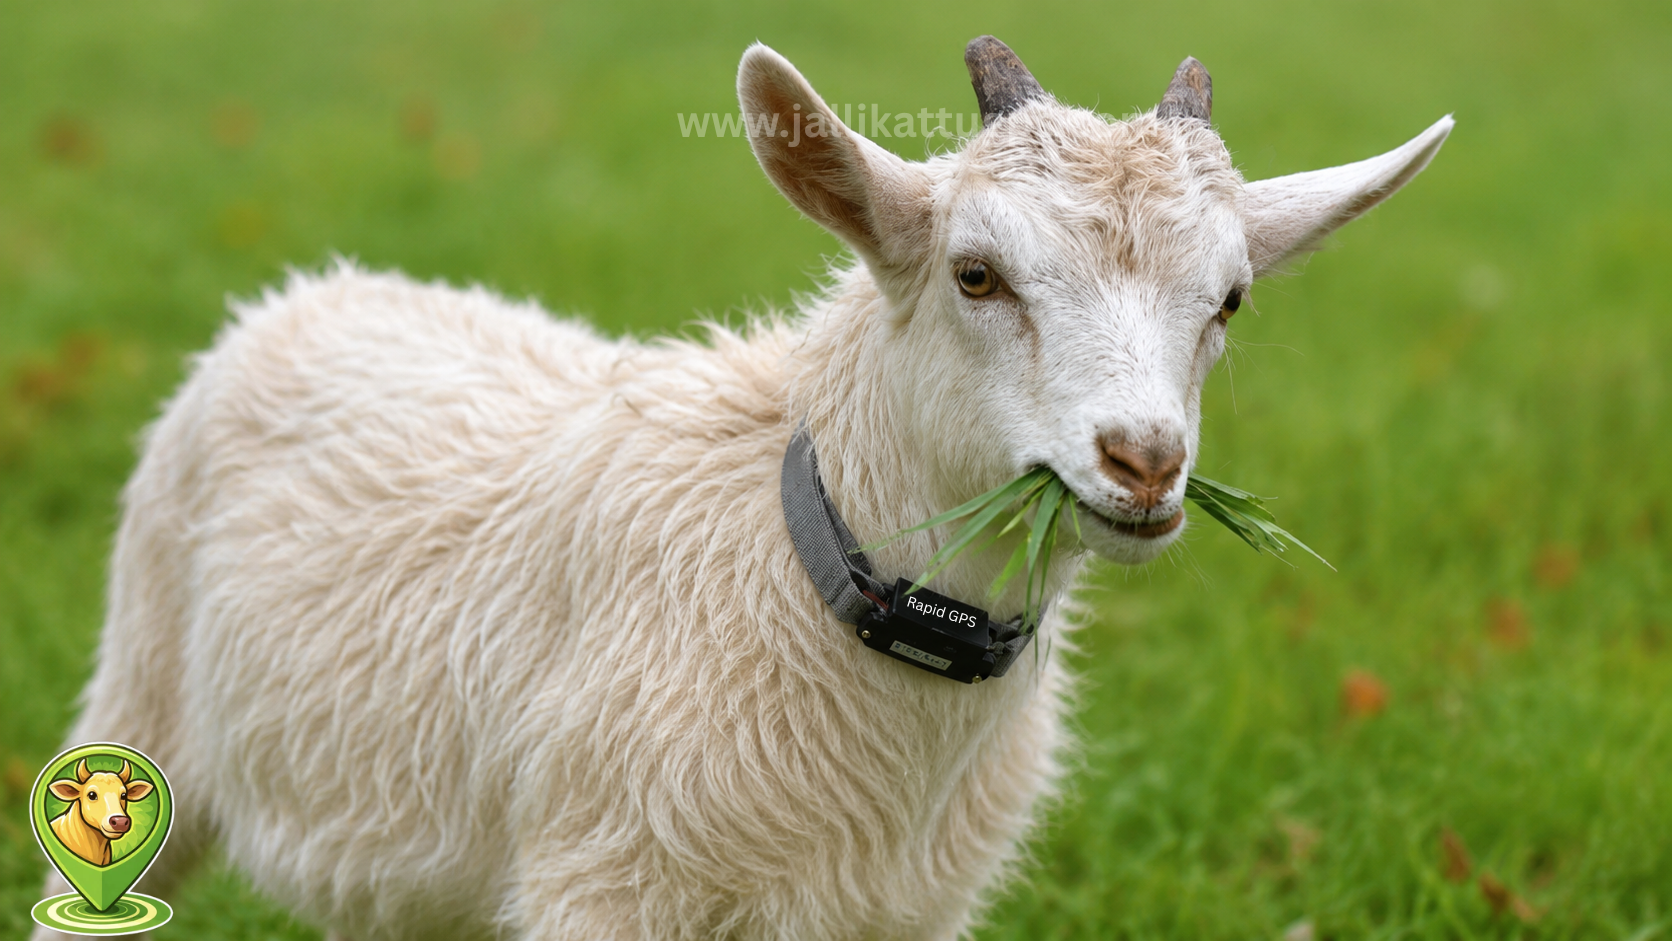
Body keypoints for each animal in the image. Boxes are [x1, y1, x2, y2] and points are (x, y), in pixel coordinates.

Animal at [33, 37, 1449, 941]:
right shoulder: (606, 878)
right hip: (145, 689)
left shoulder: (902, 910)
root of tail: (314, 288)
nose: (1143, 462)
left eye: (1230, 299)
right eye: (976, 273)